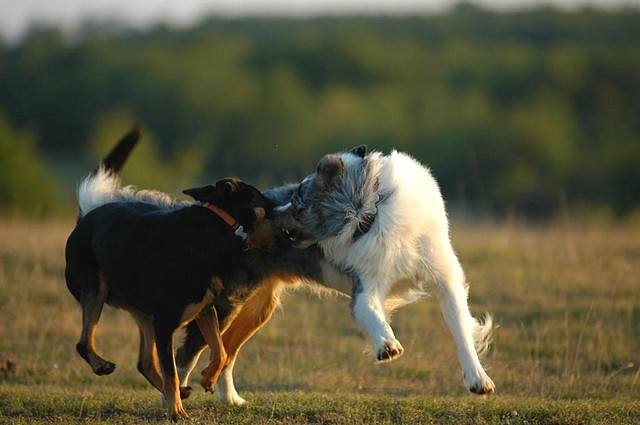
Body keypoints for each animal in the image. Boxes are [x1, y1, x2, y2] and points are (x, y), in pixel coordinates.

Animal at [63, 128, 288, 418]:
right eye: (268, 209)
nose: (290, 237)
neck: (221, 228)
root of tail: (84, 217)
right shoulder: (166, 323)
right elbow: (172, 370)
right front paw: (176, 412)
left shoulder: (205, 309)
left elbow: (220, 351)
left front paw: (207, 379)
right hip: (96, 289)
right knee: (85, 342)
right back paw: (103, 365)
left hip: (143, 314)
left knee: (144, 363)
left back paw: (183, 390)